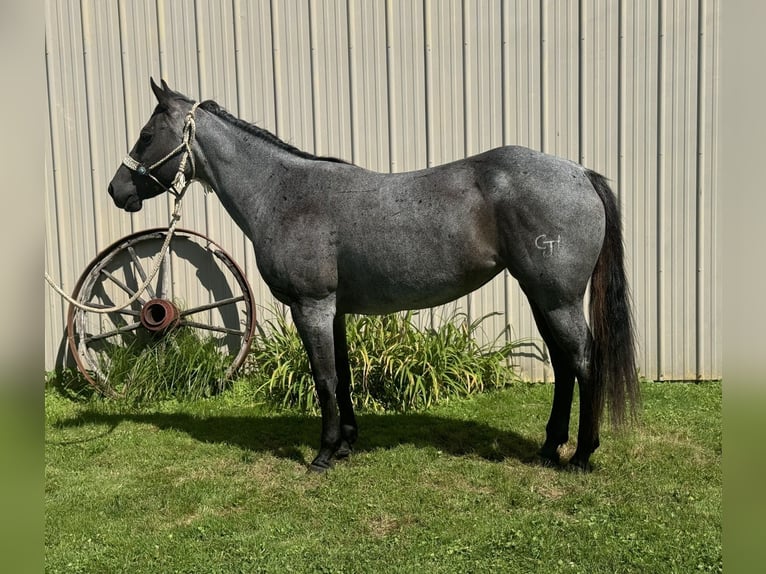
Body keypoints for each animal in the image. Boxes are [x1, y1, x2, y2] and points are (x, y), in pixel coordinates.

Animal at [105, 80, 640, 472]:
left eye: (146, 135)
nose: (116, 189)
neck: (283, 192)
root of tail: (580, 174)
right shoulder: (336, 311)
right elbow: (342, 377)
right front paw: (346, 444)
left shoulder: (312, 307)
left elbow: (323, 378)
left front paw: (323, 455)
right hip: (542, 297)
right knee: (564, 366)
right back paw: (550, 448)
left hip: (557, 299)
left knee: (584, 362)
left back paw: (582, 455)